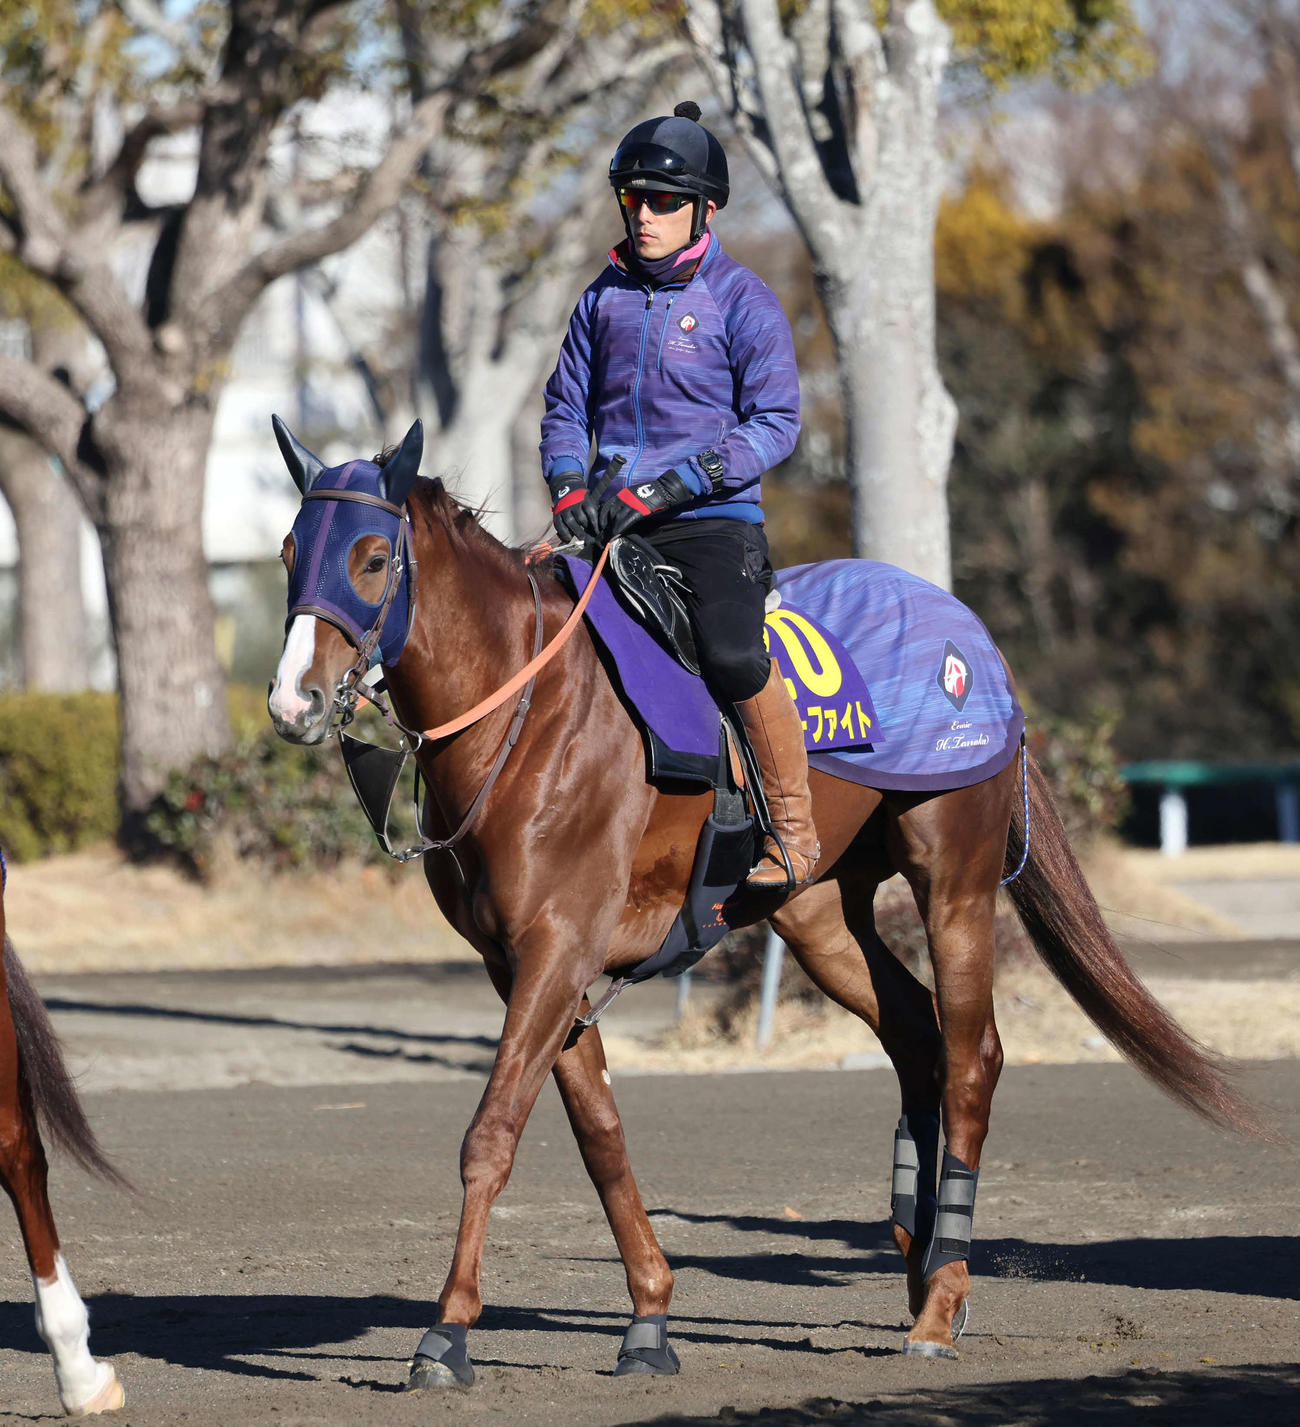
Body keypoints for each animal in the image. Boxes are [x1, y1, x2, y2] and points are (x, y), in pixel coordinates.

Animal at [266, 417, 1257, 1387]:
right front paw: (650, 1316)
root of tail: (970, 636)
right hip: (817, 913)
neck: (531, 713)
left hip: (955, 881)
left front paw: (447, 1332)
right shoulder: (525, 963)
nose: (292, 701)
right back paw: (923, 1264)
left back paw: (939, 1304)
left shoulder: (557, 946)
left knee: (971, 1059)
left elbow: (493, 1132)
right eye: (288, 552)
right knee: (917, 1035)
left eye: (371, 558)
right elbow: (600, 1135)